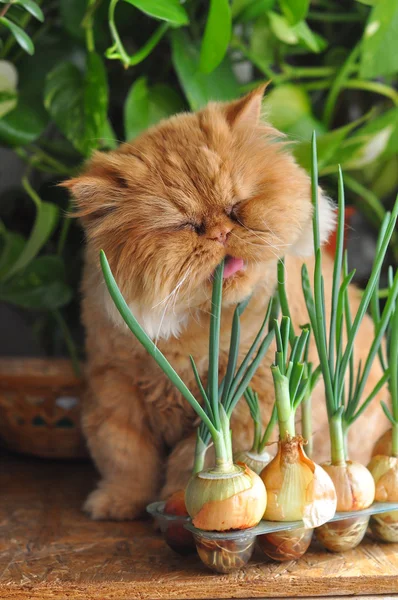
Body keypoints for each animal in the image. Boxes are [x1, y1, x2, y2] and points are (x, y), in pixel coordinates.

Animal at [63, 85, 388, 520]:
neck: (194, 333)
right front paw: (116, 504)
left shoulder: (245, 400)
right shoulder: (114, 389)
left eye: (237, 209)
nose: (219, 233)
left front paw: (178, 508)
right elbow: (126, 460)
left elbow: (190, 461)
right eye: (187, 226)